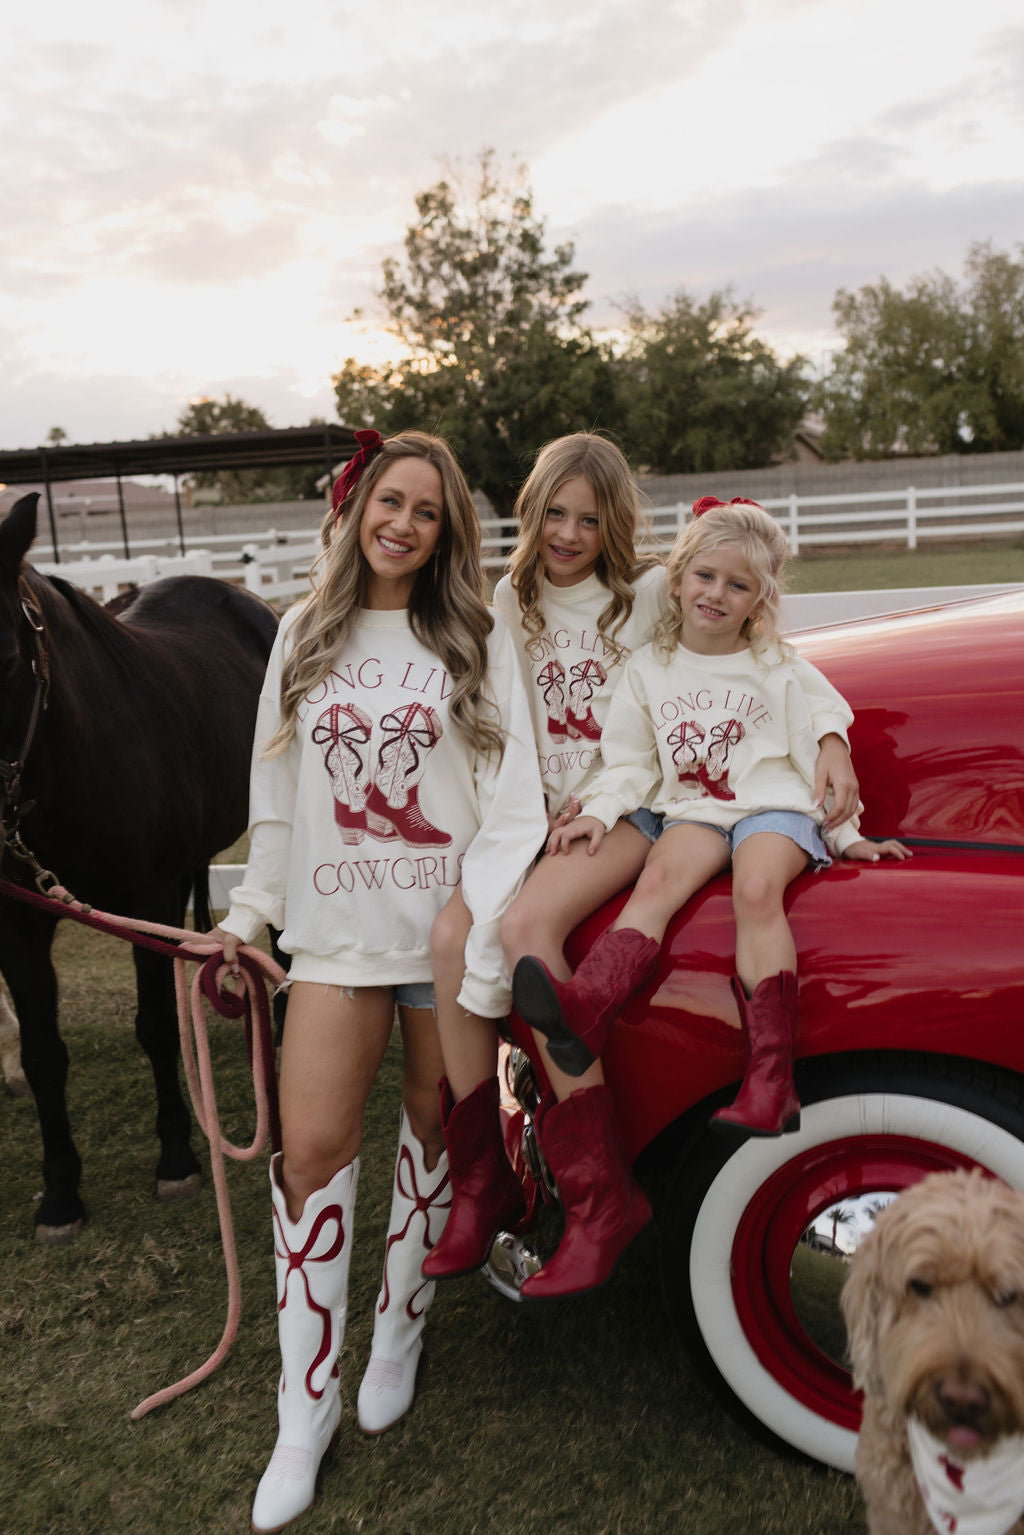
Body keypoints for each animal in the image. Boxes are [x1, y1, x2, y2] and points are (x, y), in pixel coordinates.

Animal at [0, 497, 280, 1240]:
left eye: (6, 654)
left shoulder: (146, 900)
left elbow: (153, 1025)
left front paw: (178, 1157)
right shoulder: (20, 927)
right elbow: (43, 1052)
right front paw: (60, 1194)